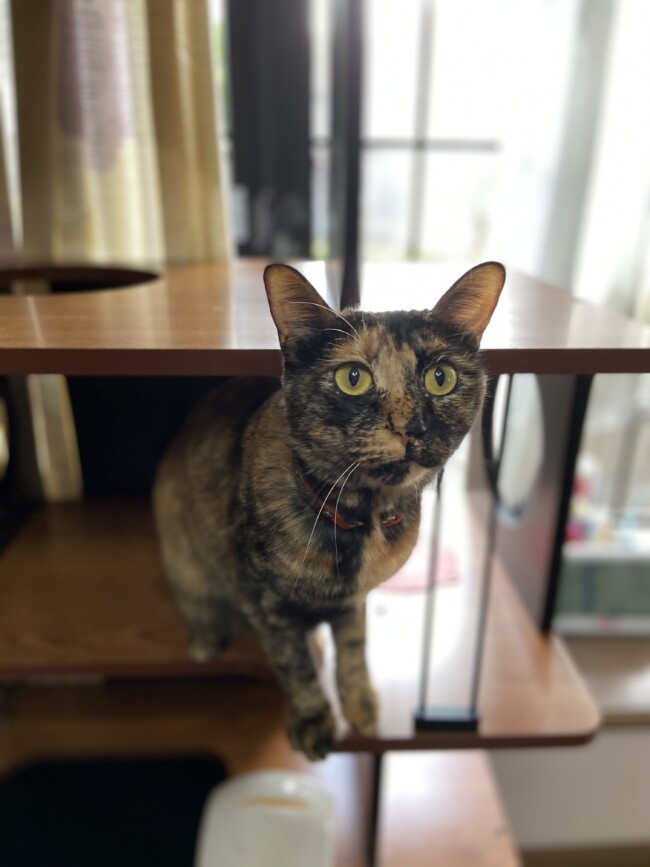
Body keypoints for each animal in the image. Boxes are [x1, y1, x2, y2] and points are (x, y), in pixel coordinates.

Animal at [153, 262, 505, 760]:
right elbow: (296, 668)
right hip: (183, 553)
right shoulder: (267, 608)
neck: (362, 521)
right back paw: (204, 639)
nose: (410, 426)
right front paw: (314, 722)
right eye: (352, 378)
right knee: (196, 598)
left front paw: (361, 707)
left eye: (441, 377)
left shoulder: (353, 604)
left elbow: (354, 651)